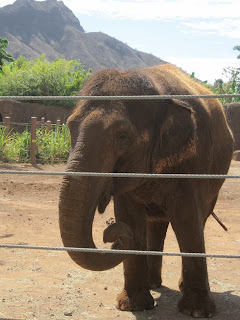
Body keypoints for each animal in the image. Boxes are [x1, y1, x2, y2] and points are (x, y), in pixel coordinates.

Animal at [59, 63, 233, 318]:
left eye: (122, 136)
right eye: (70, 128)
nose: (111, 233)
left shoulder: (192, 164)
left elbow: (187, 221)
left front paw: (197, 312)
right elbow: (130, 218)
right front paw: (132, 306)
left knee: (197, 220)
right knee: (155, 224)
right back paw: (153, 284)